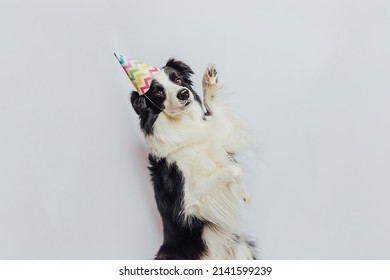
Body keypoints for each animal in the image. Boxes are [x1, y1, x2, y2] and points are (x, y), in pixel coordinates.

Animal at [131, 59, 256, 260]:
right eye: (158, 92)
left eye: (178, 79)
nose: (183, 93)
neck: (183, 123)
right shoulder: (188, 202)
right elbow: (233, 170)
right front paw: (244, 194)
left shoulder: (219, 136)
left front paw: (209, 81)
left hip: (243, 250)